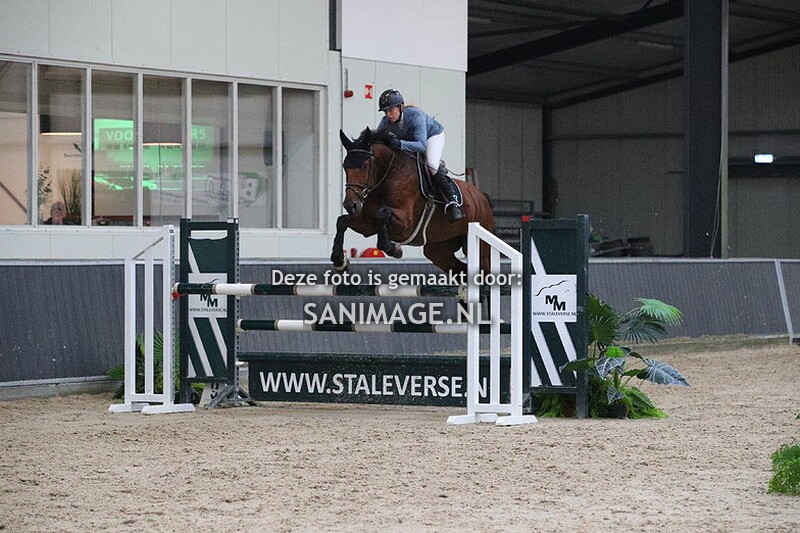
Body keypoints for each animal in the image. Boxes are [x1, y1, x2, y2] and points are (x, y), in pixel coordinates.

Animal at [332, 127, 495, 275]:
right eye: (345, 166)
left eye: (364, 166)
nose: (350, 205)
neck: (389, 172)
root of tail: (481, 196)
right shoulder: (367, 224)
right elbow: (342, 221)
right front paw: (339, 261)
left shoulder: (405, 224)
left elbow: (382, 213)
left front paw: (394, 249)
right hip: (439, 250)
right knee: (460, 270)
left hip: (481, 246)